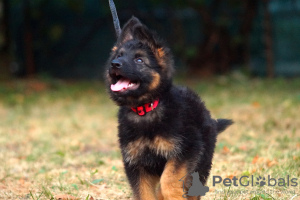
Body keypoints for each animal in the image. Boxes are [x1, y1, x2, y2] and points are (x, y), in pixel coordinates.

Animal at [105, 17, 232, 200]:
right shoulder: (136, 163)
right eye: (119, 56)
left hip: (202, 162)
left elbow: (169, 180)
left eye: (139, 60)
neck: (146, 109)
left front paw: (172, 194)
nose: (114, 64)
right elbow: (144, 193)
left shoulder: (186, 150)